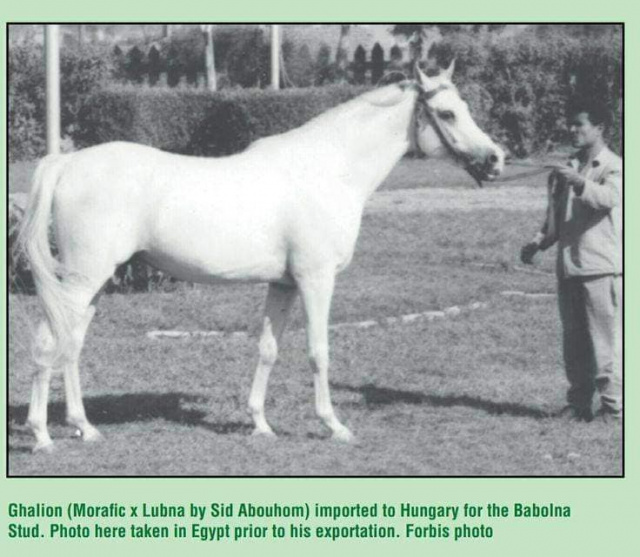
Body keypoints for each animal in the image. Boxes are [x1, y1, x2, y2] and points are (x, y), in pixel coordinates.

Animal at [17, 64, 502, 452]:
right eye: (447, 114)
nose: (496, 159)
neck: (328, 170)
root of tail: (68, 163)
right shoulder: (316, 279)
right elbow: (318, 351)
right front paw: (334, 425)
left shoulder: (283, 284)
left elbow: (268, 349)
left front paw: (260, 425)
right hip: (82, 279)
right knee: (46, 343)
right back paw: (42, 436)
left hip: (93, 282)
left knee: (72, 344)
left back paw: (84, 428)